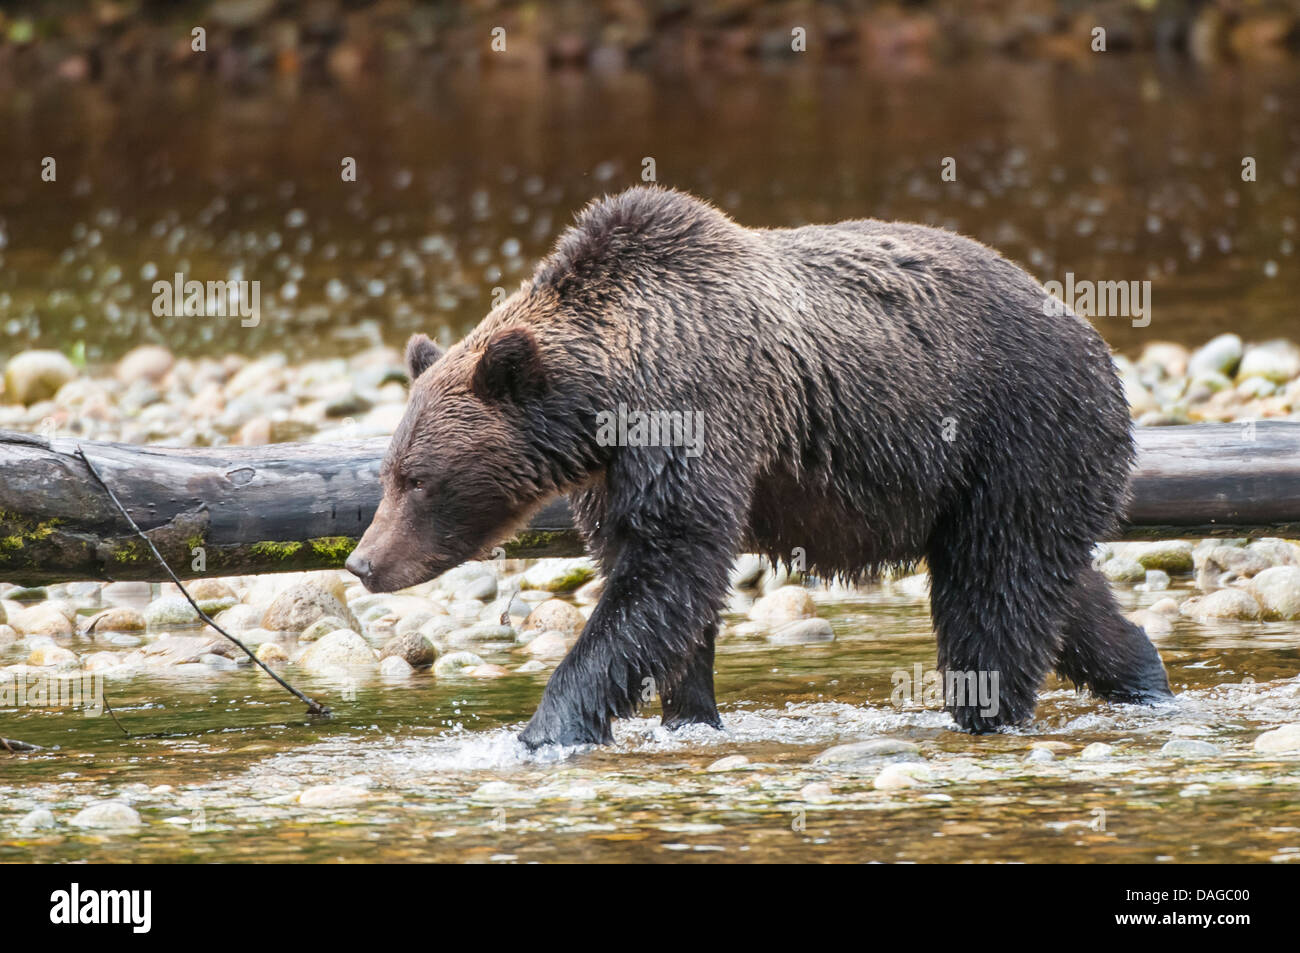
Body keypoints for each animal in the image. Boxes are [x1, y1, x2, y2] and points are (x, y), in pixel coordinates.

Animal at [348, 185, 1180, 748]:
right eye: (388, 471)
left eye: (418, 478)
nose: (362, 561)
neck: (607, 403)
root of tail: (1098, 343)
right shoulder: (616, 477)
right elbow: (662, 594)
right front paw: (690, 711)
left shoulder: (693, 418)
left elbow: (666, 573)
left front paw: (547, 728)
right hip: (994, 483)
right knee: (1057, 587)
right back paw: (1145, 676)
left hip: (1018, 432)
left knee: (994, 600)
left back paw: (988, 712)